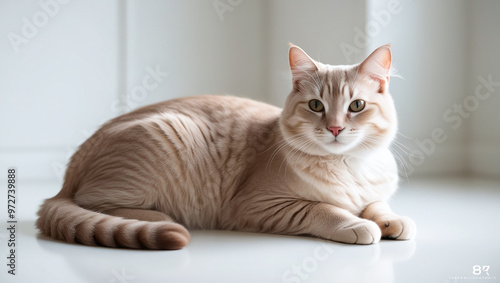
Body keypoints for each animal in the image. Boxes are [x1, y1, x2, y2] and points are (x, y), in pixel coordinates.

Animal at [37, 43, 416, 250]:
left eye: (356, 106)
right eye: (316, 106)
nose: (335, 128)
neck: (351, 168)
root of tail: (65, 181)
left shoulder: (373, 193)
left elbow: (377, 205)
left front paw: (391, 220)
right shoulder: (261, 205)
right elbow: (323, 209)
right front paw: (356, 224)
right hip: (167, 131)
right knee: (94, 204)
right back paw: (158, 216)